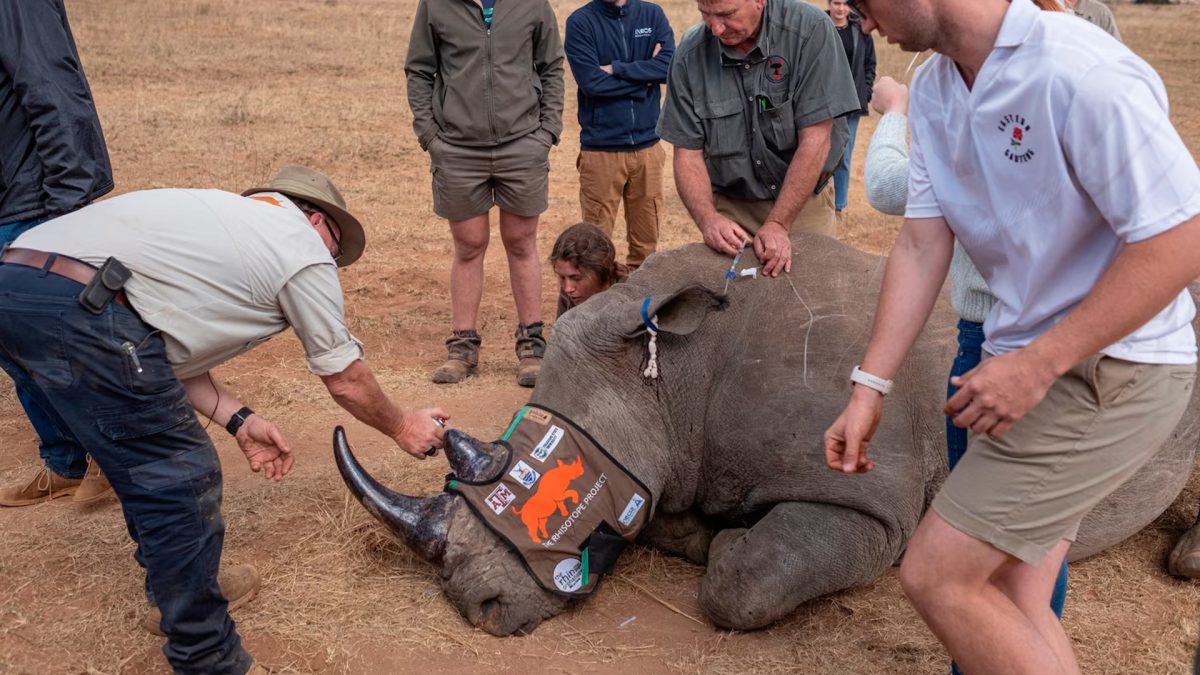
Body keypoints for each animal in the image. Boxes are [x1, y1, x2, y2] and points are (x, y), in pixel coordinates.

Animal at [336, 234, 1200, 636]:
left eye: (534, 478)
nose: (475, 607)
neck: (669, 375)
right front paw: (697, 530)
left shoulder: (875, 507)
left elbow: (743, 584)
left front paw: (723, 545)